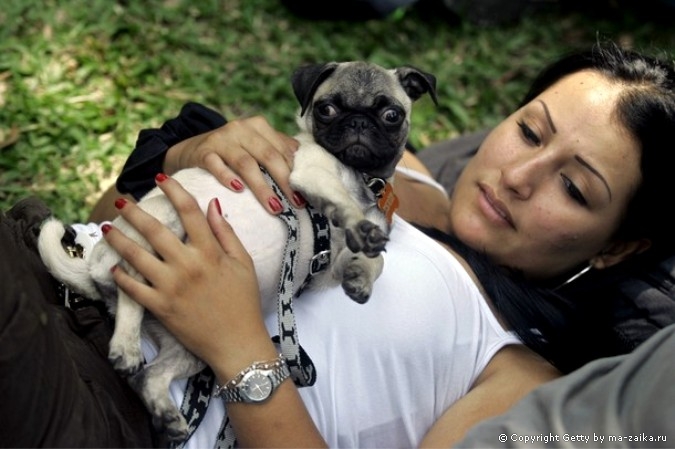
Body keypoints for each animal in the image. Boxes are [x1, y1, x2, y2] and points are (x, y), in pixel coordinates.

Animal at [37, 60, 438, 440]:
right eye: (327, 109)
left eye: (391, 115)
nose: (358, 122)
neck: (362, 180)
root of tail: (93, 266)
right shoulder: (313, 175)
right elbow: (346, 206)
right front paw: (358, 224)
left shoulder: (328, 265)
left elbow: (374, 260)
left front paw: (360, 277)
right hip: (163, 224)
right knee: (130, 284)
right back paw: (127, 348)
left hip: (191, 349)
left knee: (150, 375)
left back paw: (167, 415)